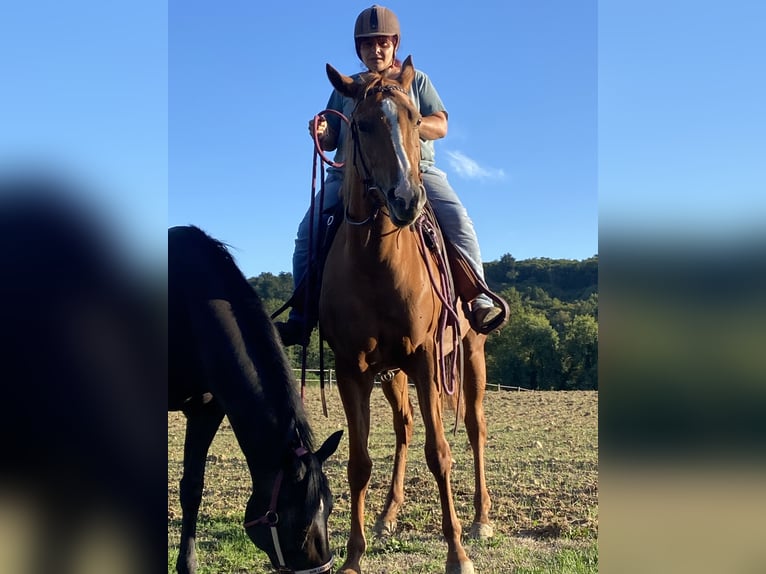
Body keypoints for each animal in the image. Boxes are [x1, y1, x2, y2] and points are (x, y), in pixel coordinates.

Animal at [318, 56, 493, 574]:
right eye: (360, 124)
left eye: (416, 119)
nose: (406, 200)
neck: (377, 262)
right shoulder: (352, 368)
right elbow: (359, 462)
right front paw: (353, 557)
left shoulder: (424, 359)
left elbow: (440, 454)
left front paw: (457, 553)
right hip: (390, 372)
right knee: (404, 427)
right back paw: (387, 515)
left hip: (470, 356)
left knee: (474, 428)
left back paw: (481, 519)